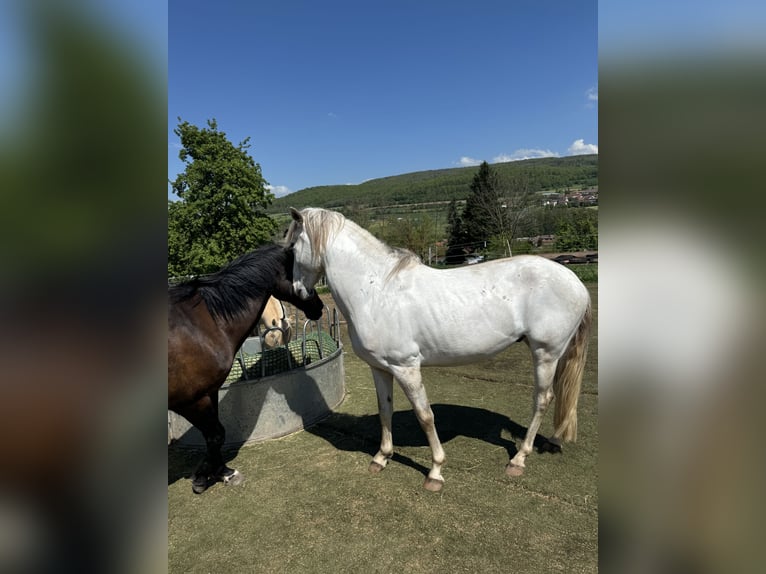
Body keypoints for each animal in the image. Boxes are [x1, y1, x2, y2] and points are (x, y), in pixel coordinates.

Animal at [168, 244, 324, 496]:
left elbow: (216, 435)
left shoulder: (210, 392)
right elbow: (215, 435)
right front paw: (203, 478)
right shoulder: (190, 401)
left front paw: (221, 472)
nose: (319, 307)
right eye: (303, 271)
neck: (201, 324)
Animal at [288, 207, 592, 490]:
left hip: (546, 353)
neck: (376, 292)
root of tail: (574, 281)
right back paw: (552, 441)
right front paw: (381, 457)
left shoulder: (406, 367)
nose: (300, 293)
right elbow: (385, 410)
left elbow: (425, 416)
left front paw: (435, 471)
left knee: (543, 399)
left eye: (291, 247)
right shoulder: (380, 368)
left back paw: (519, 459)